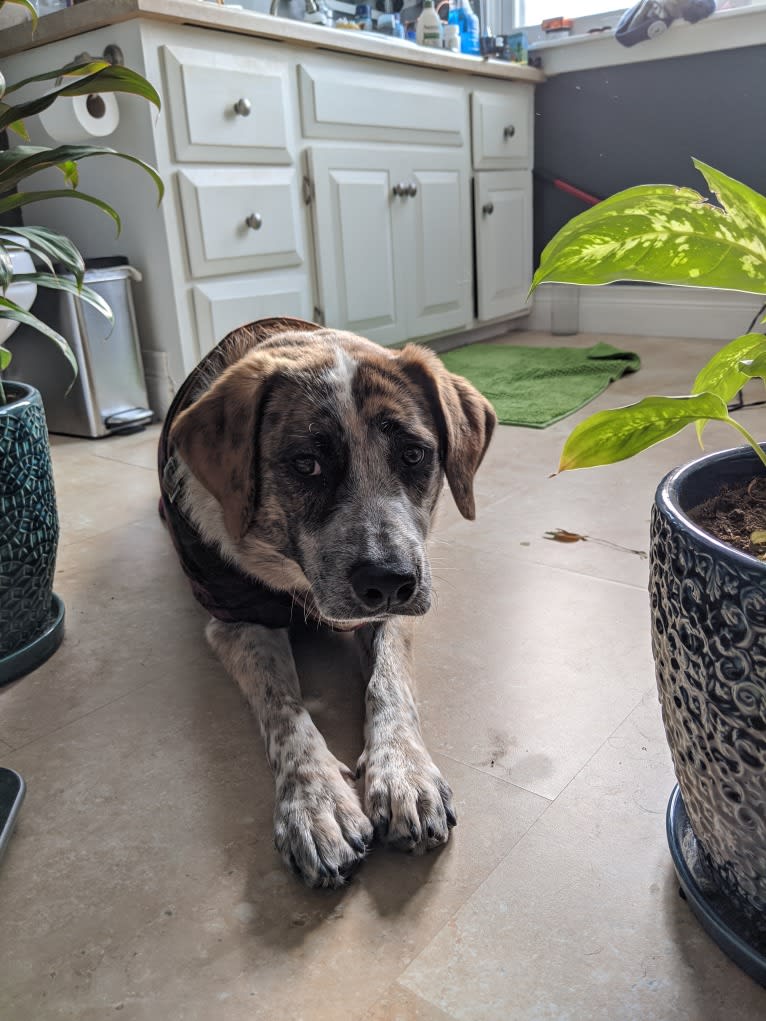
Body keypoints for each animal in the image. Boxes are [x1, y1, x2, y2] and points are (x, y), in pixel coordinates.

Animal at [157, 316, 498, 886]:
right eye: (307, 464)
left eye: (414, 454)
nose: (388, 581)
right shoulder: (235, 618)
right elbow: (283, 708)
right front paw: (316, 803)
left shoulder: (399, 608)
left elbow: (389, 683)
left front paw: (403, 773)